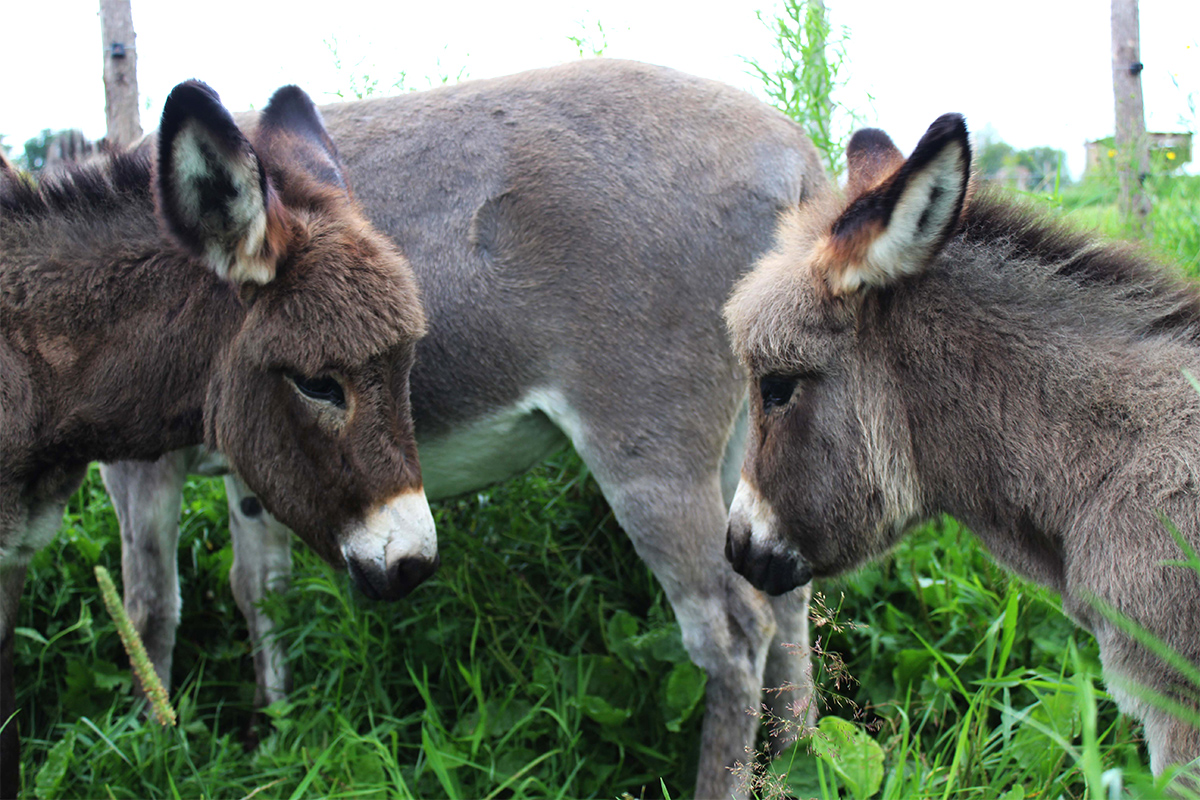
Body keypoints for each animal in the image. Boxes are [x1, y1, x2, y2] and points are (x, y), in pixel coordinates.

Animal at [98, 61, 830, 796]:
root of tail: (792, 146)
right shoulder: (265, 457)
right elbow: (260, 593)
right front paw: (271, 733)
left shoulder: (137, 464)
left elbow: (148, 608)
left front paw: (152, 746)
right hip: (752, 436)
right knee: (787, 596)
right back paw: (804, 759)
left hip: (650, 455)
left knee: (735, 634)